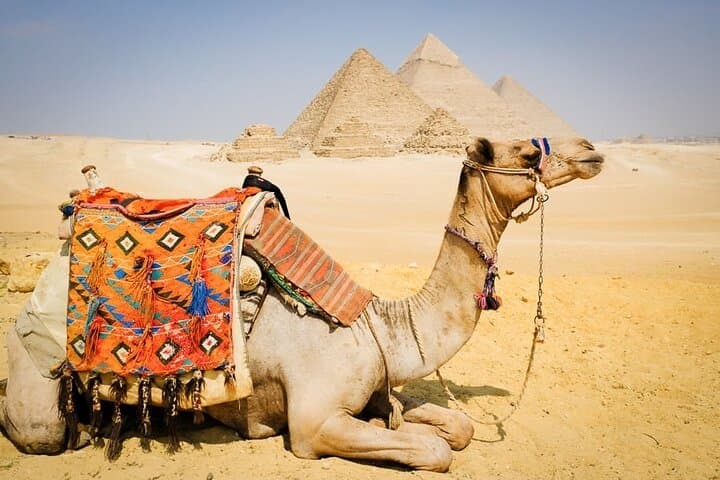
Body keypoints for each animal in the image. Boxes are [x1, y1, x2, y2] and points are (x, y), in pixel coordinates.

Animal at [0, 136, 603, 471]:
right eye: (529, 151)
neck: (376, 326)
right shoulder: (314, 423)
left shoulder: (376, 390)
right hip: (39, 392)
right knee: (36, 427)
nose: (591, 151)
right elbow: (433, 450)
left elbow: (456, 427)